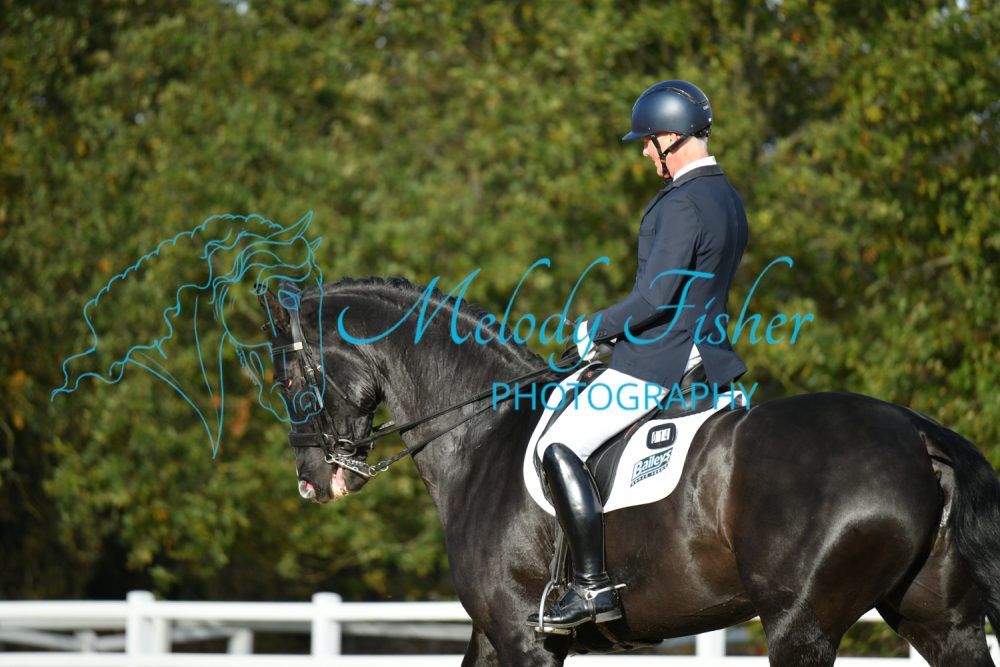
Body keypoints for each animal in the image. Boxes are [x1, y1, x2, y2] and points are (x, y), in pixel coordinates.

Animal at [257, 275, 1000, 666]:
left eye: (289, 377)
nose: (312, 479)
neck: (478, 432)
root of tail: (917, 433)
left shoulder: (523, 635)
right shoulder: (493, 633)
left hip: (802, 624)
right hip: (942, 621)